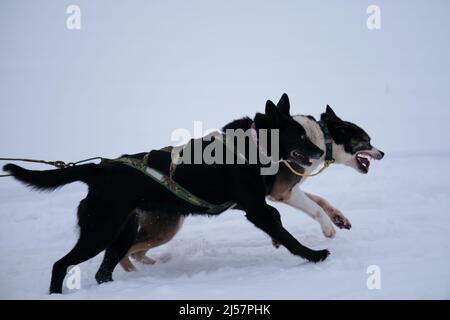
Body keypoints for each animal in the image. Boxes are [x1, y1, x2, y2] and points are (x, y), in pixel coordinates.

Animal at [2, 94, 330, 294]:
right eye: (300, 135)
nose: (321, 151)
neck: (253, 145)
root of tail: (99, 170)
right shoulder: (255, 209)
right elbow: (286, 233)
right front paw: (313, 255)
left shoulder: (251, 206)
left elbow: (279, 221)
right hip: (99, 232)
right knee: (60, 264)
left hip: (120, 235)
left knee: (102, 272)